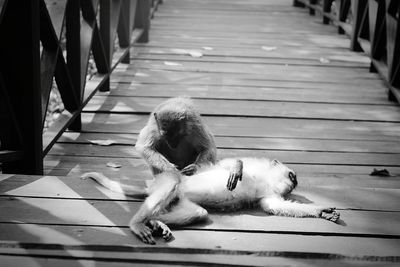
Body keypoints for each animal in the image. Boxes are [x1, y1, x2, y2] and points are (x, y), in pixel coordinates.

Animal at [82, 158, 340, 246]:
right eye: (292, 176)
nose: (294, 183)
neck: (267, 179)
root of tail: (150, 187)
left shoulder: (269, 194)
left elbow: (275, 206)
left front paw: (321, 211)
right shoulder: (255, 166)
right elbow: (226, 165)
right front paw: (236, 167)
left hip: (182, 200)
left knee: (197, 212)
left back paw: (156, 223)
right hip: (168, 183)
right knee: (173, 181)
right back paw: (138, 223)